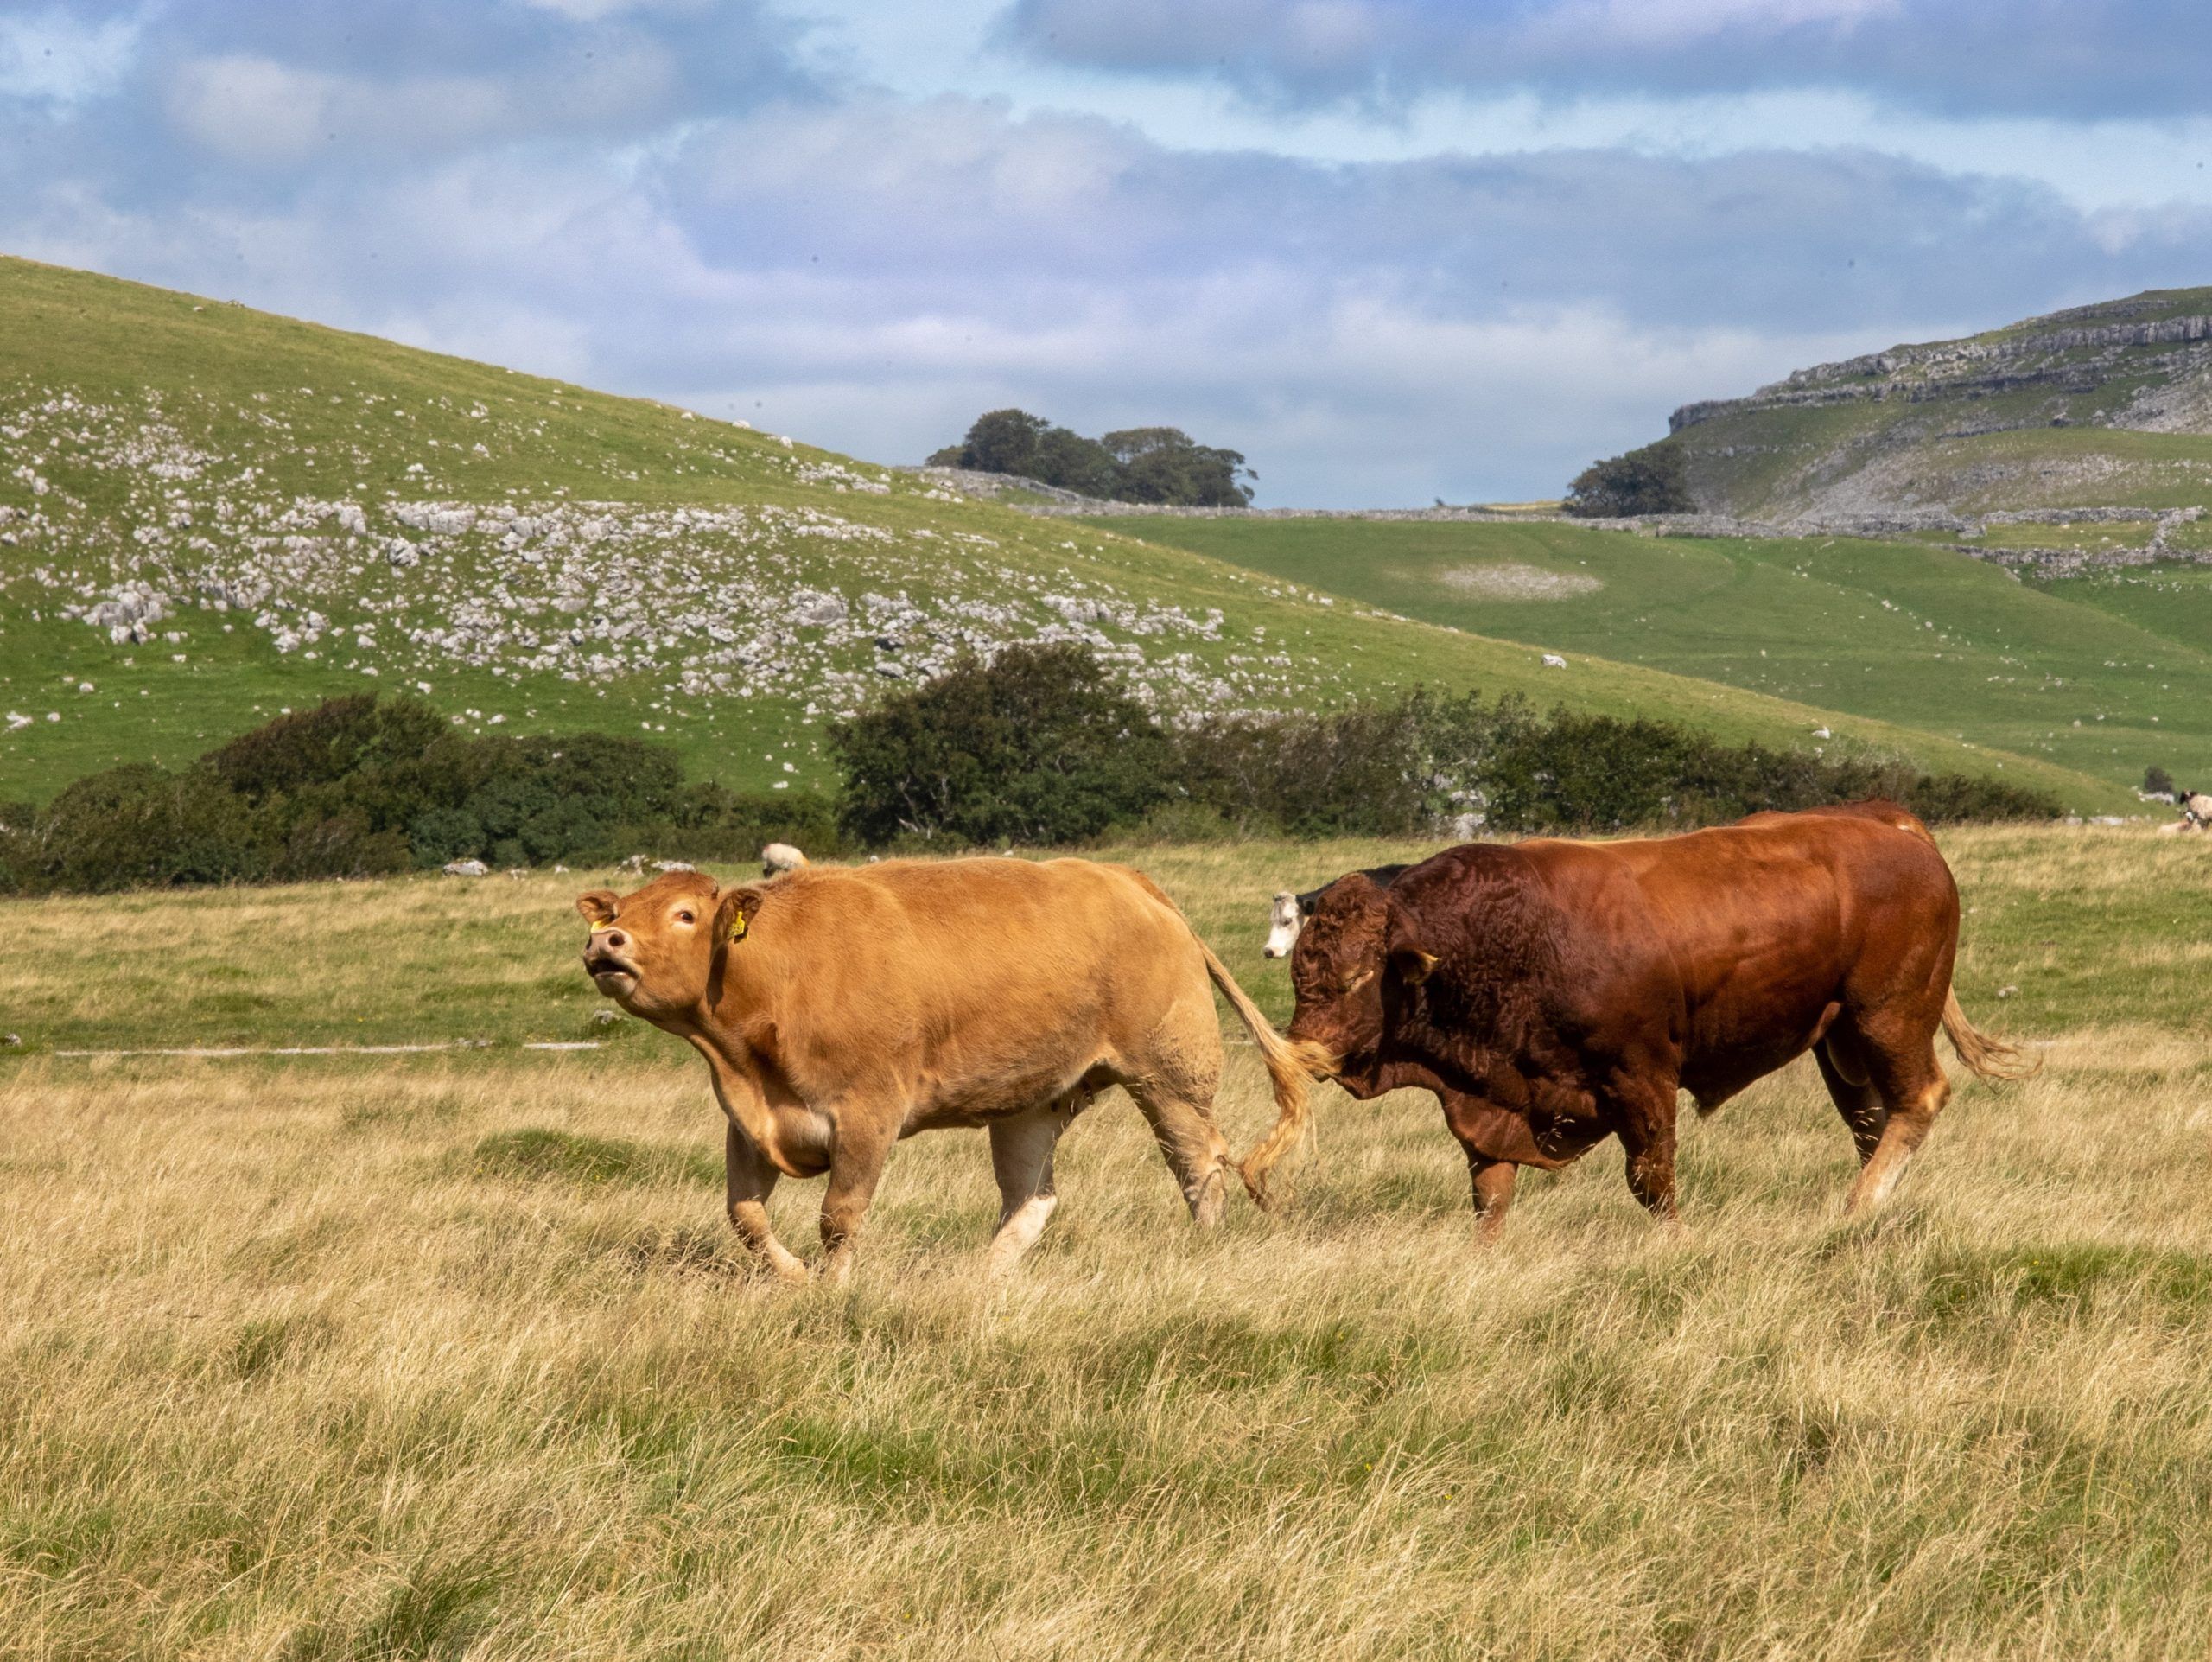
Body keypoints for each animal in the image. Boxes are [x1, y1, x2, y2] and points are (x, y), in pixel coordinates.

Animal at [575, 858, 1309, 1283]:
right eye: (622, 912)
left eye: (684, 914)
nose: (604, 940)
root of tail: (1129, 880)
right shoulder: (751, 1122)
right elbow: (746, 1216)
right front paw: (795, 1278)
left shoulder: (866, 1117)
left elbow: (839, 1217)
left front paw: (834, 1291)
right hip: (1032, 1104)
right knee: (1032, 1197)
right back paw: (980, 1278)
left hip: (1169, 1077)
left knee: (1200, 1167)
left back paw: (1203, 1248)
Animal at [1265, 800, 2035, 1239]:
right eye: (1298, 967)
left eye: (1358, 977)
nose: (1304, 1048)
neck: (1509, 938)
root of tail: (1893, 826)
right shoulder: (1490, 1097)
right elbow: (1491, 1194)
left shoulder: (1640, 1079)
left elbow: (1651, 1181)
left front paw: (1679, 1243)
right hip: (1840, 1040)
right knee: (1872, 1119)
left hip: (1889, 1017)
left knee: (1918, 1099)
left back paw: (1855, 1209)